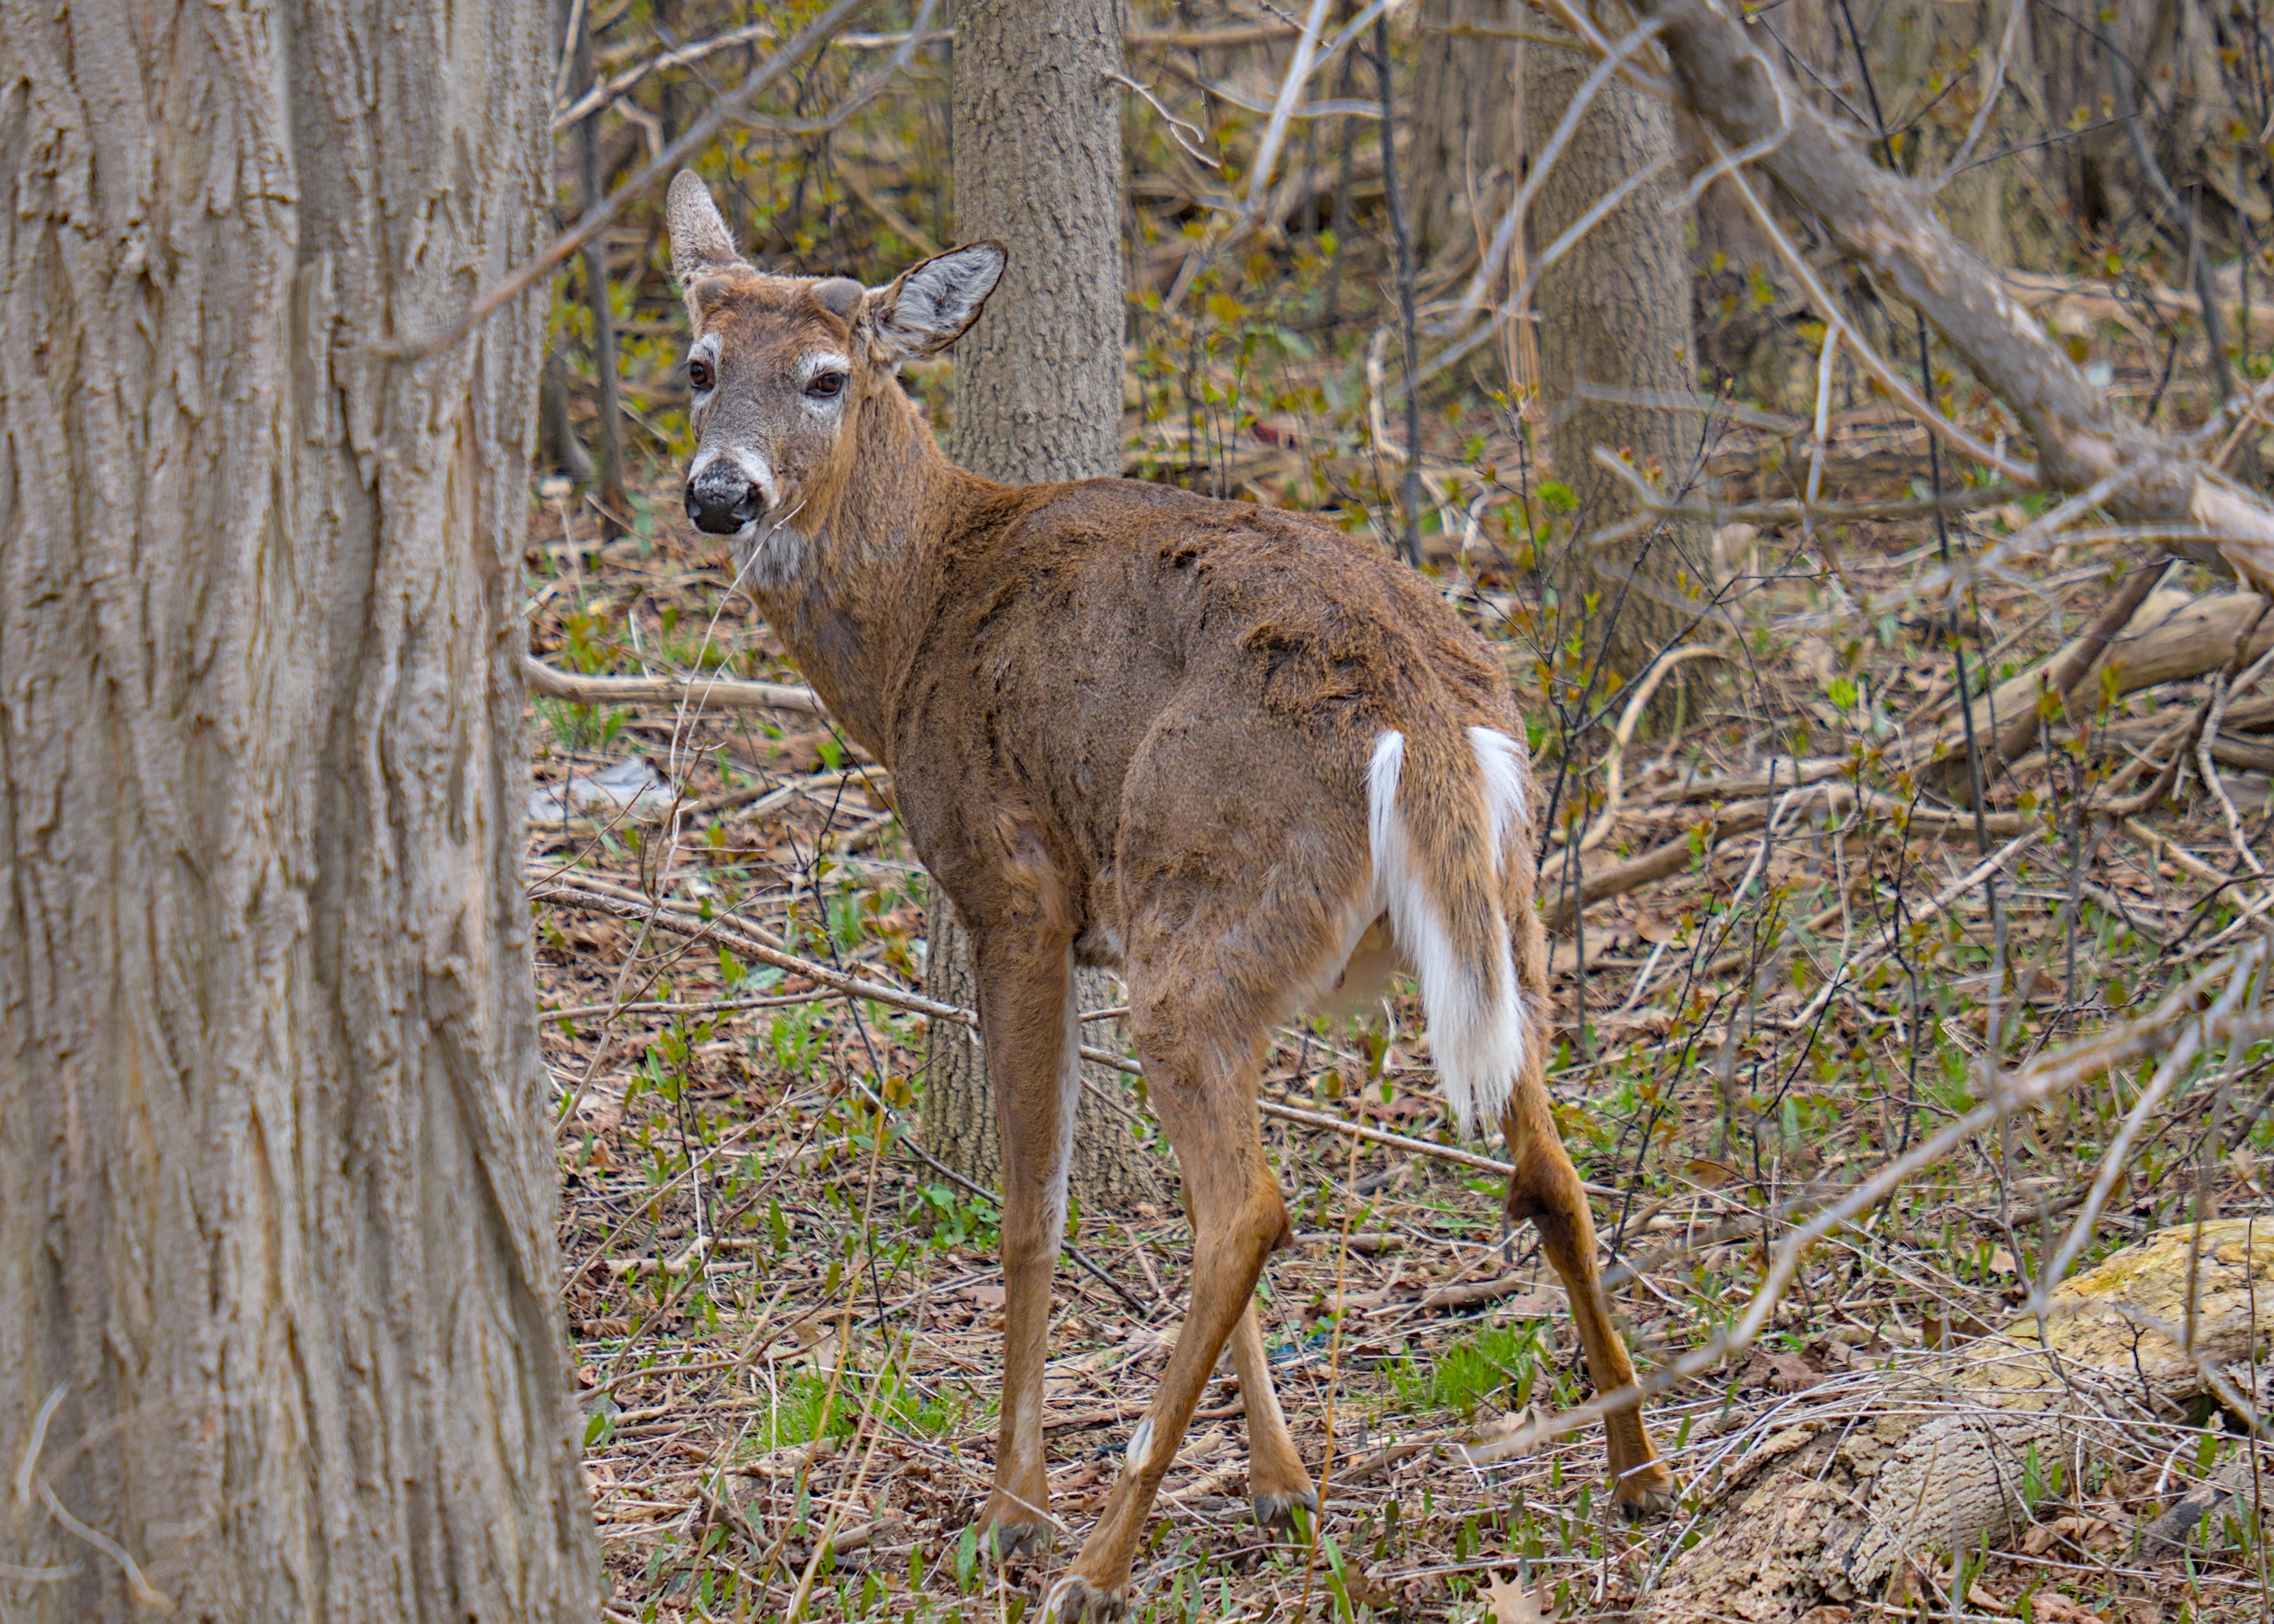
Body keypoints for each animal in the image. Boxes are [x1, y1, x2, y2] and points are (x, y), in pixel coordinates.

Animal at [661, 169, 1675, 1619]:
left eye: (825, 376)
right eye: (698, 365)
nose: (720, 493)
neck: (916, 618)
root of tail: (1423, 710)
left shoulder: (1015, 885)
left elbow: (1033, 1207)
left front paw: (1014, 1503)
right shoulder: (1102, 922)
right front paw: (1277, 1479)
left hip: (1205, 906)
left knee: (1245, 1208)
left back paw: (1092, 1554)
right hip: (1495, 915)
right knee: (1538, 1166)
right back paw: (1637, 1471)